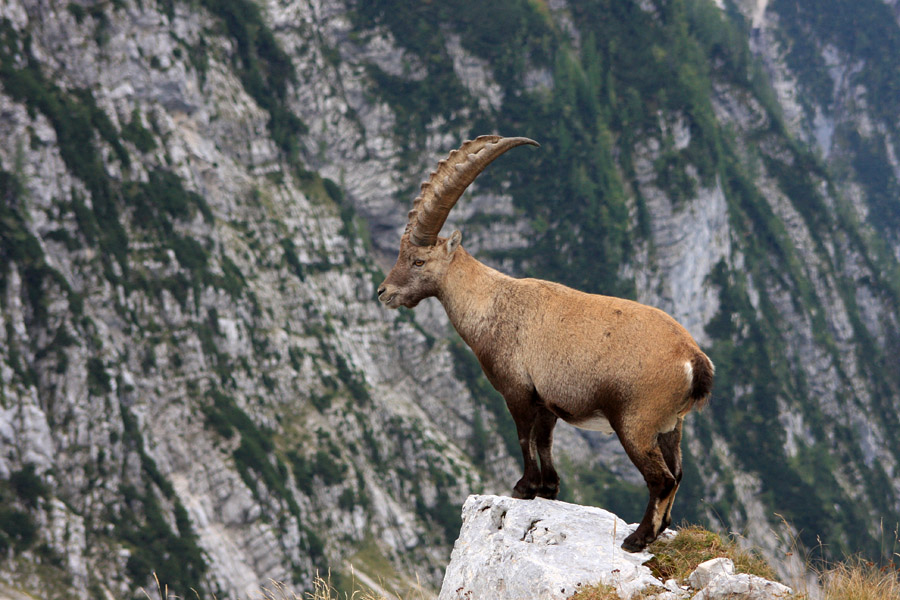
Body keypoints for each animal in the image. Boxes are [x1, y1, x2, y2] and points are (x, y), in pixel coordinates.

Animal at [377, 136, 714, 551]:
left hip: (636, 421)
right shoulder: (548, 399)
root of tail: (694, 359)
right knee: (678, 474)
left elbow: (524, 437)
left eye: (419, 261)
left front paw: (523, 488)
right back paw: (659, 530)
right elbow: (545, 440)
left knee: (662, 478)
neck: (492, 302)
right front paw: (548, 488)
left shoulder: (516, 388)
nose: (383, 292)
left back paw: (637, 539)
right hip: (671, 425)